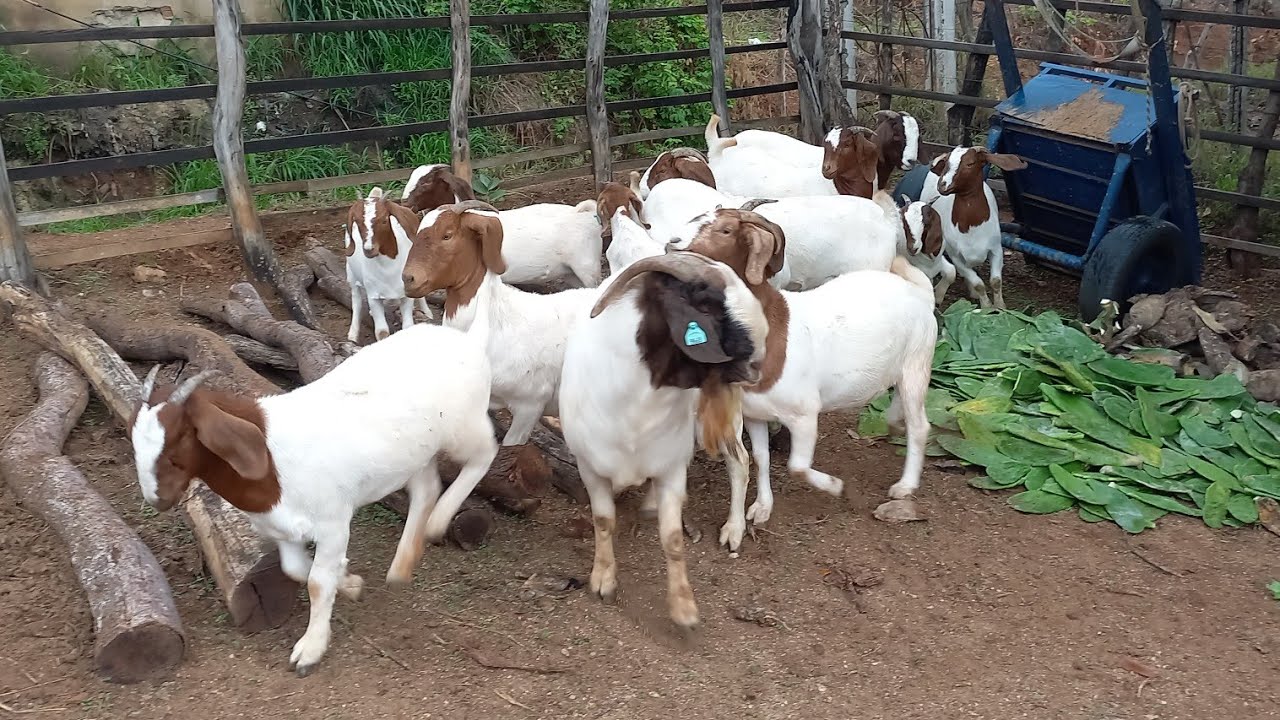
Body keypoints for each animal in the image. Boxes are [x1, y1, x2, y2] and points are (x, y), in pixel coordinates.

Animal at [129, 323, 499, 676]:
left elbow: (317, 582)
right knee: (427, 488)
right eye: (134, 443)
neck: (272, 460)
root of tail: (466, 339)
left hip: (464, 428)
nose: (156, 499)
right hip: (415, 453)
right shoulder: (283, 530)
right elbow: (295, 570)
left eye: (177, 446)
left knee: (486, 452)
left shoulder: (334, 524)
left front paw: (310, 649)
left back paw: (440, 520)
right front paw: (349, 582)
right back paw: (402, 565)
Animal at [342, 187, 434, 343]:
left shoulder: (406, 294)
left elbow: (407, 326)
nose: (369, 249)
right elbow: (382, 332)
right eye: (357, 222)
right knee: (356, 300)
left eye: (385, 219)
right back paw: (353, 335)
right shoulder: (374, 296)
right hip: (351, 274)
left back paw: (427, 312)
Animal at [558, 252, 768, 628]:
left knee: (740, 462)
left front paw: (684, 608)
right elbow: (603, 521)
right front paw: (602, 580)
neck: (636, 411)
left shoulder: (671, 467)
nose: (757, 363)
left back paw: (733, 529)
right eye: (705, 302)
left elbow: (672, 539)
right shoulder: (590, 466)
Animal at [683, 212, 938, 551]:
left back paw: (905, 486)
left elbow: (797, 467)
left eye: (725, 230)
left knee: (920, 426)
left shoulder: (804, 415)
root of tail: (921, 294)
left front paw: (837, 487)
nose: (682, 253)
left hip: (917, 362)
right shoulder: (754, 414)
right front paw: (760, 508)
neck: (772, 331)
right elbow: (761, 458)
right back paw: (895, 421)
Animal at [917, 146, 1028, 309]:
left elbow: (996, 281)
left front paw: (1000, 307)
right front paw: (986, 307)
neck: (971, 228)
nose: (942, 185)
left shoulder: (996, 250)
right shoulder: (956, 256)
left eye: (970, 163)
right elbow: (978, 283)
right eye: (946, 163)